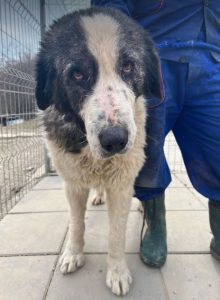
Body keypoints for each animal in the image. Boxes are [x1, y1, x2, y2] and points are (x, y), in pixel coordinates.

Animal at [36, 6, 162, 296]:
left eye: (128, 66)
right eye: (77, 74)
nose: (115, 140)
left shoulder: (121, 183)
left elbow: (116, 234)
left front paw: (117, 272)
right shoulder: (72, 183)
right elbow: (76, 224)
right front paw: (73, 254)